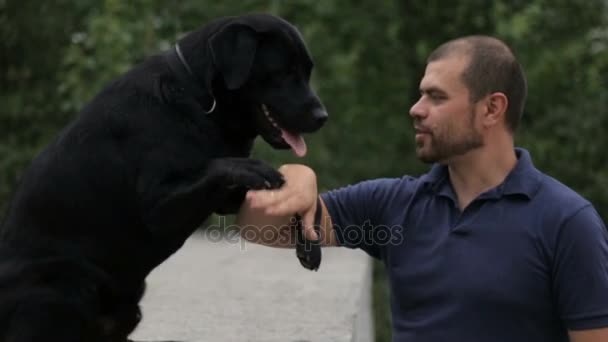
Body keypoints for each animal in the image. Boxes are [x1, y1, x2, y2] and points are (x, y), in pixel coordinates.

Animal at [0, 14, 328, 342]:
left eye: (307, 72)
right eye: (283, 72)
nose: (322, 116)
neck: (199, 99)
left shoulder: (225, 197)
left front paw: (310, 244)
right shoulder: (157, 207)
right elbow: (219, 165)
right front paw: (255, 167)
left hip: (128, 307)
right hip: (67, 283)